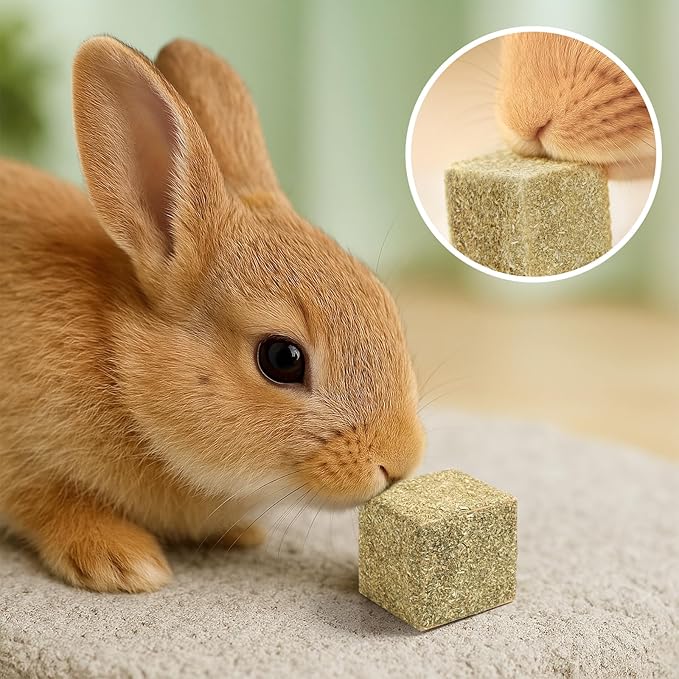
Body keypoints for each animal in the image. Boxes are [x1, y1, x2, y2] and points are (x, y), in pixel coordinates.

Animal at [0, 36, 425, 593]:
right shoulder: (21, 459)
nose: (399, 462)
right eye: (282, 358)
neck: (120, 370)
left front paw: (241, 533)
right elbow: (44, 502)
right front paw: (123, 561)